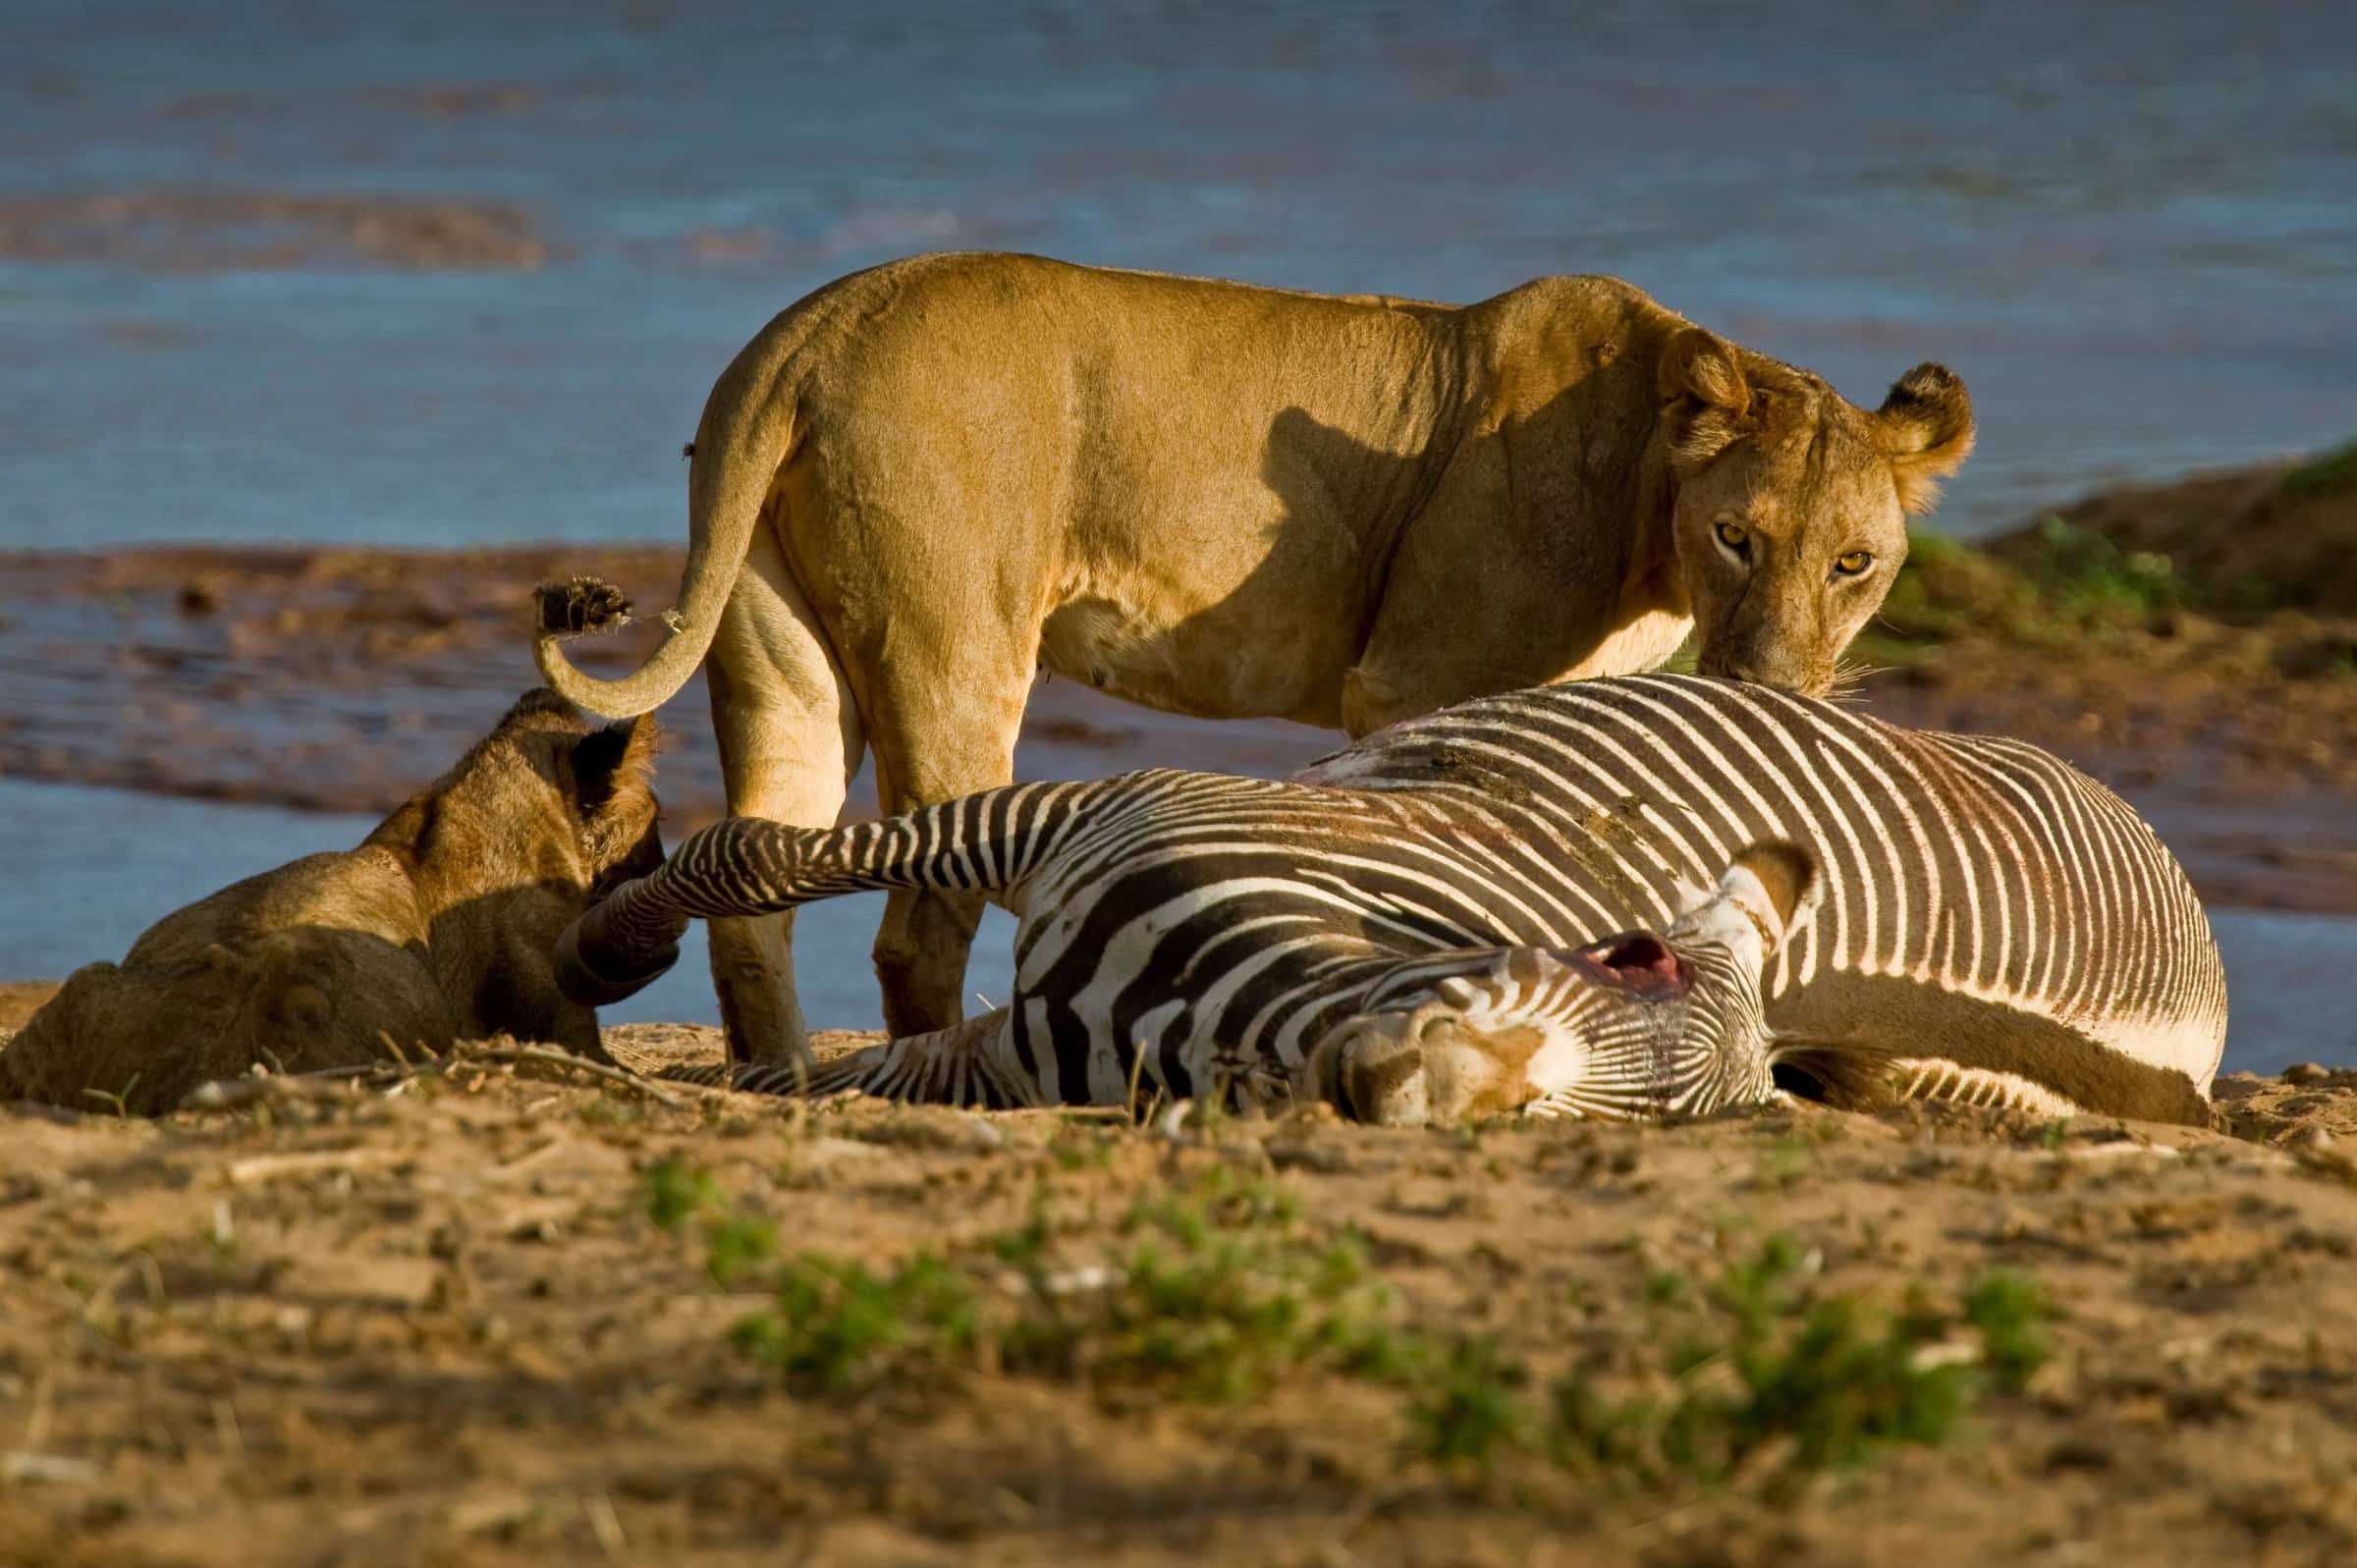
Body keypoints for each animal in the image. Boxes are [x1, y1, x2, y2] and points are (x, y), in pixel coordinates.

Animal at [530, 253, 1970, 1065]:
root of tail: (812, 331)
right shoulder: (1416, 680)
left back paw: (777, 1082)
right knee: (913, 919)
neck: (1649, 506)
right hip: (955, 649)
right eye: (1740, 535)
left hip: (781, 655)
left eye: (1855, 562)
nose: (1769, 685)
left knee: (757, 882)